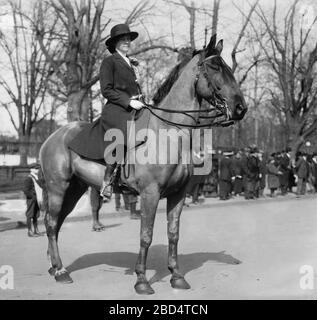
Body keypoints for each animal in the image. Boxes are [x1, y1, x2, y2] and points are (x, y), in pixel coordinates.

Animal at [39, 33, 246, 294]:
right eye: (215, 67)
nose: (241, 108)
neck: (168, 131)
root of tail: (52, 137)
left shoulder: (178, 194)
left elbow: (173, 233)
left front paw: (176, 276)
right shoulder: (150, 194)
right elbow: (146, 235)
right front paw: (141, 280)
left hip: (74, 189)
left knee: (56, 224)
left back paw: (54, 266)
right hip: (58, 188)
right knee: (50, 223)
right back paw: (61, 272)